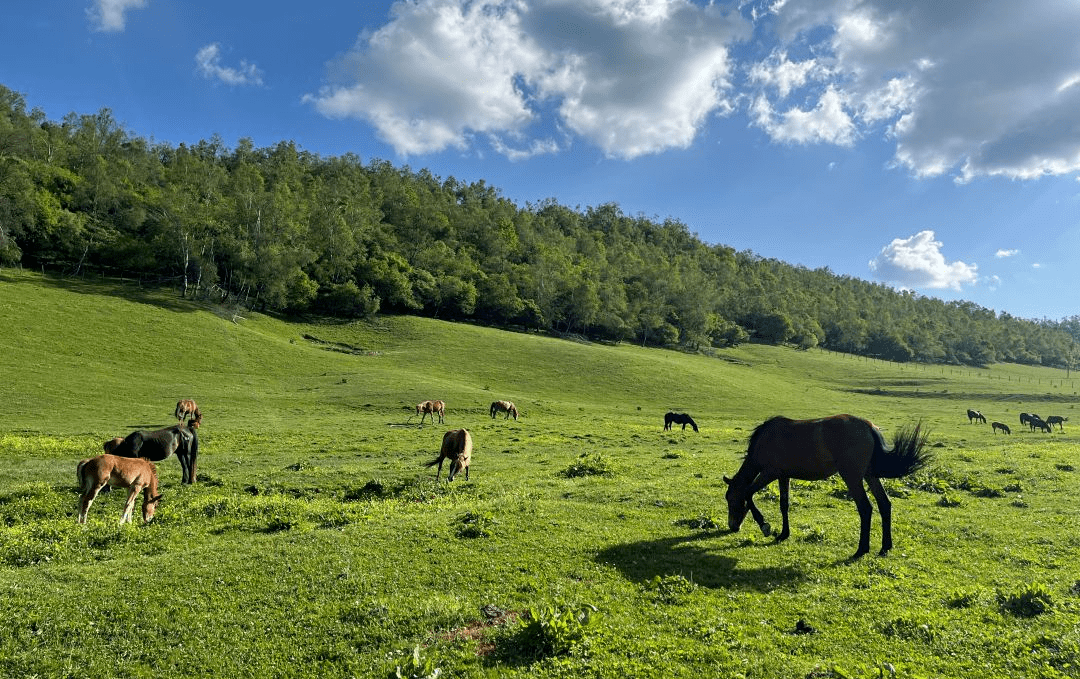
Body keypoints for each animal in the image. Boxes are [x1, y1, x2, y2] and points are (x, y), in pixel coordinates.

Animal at [721, 412, 933, 557]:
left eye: (731, 500)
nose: (732, 526)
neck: (765, 440)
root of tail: (867, 426)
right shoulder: (783, 476)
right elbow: (784, 505)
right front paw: (783, 534)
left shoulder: (769, 473)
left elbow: (748, 493)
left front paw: (764, 526)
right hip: (869, 475)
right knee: (884, 504)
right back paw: (885, 547)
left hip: (852, 477)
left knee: (866, 508)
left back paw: (861, 549)